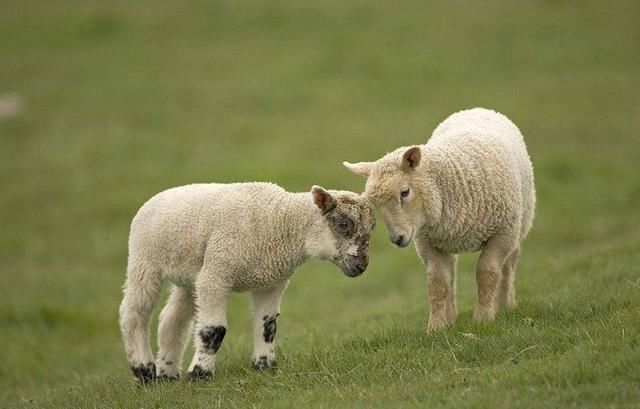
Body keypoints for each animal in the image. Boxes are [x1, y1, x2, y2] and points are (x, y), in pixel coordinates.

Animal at [119, 182, 376, 382]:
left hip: (190, 276)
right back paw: (144, 371)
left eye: (371, 227)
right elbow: (214, 330)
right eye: (343, 224)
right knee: (133, 313)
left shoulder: (272, 282)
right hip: (144, 262)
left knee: (171, 319)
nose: (362, 266)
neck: (281, 221)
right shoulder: (216, 274)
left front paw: (264, 367)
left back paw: (168, 373)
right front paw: (200, 374)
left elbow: (268, 325)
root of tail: (158, 197)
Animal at [344, 107, 536, 330]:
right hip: (445, 239)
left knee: (509, 263)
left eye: (404, 192)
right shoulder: (428, 243)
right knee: (451, 274)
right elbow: (437, 283)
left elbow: (487, 273)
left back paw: (505, 304)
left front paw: (484, 318)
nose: (397, 239)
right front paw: (437, 326)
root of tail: (476, 109)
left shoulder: (502, 233)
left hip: (519, 223)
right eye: (375, 205)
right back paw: (452, 316)